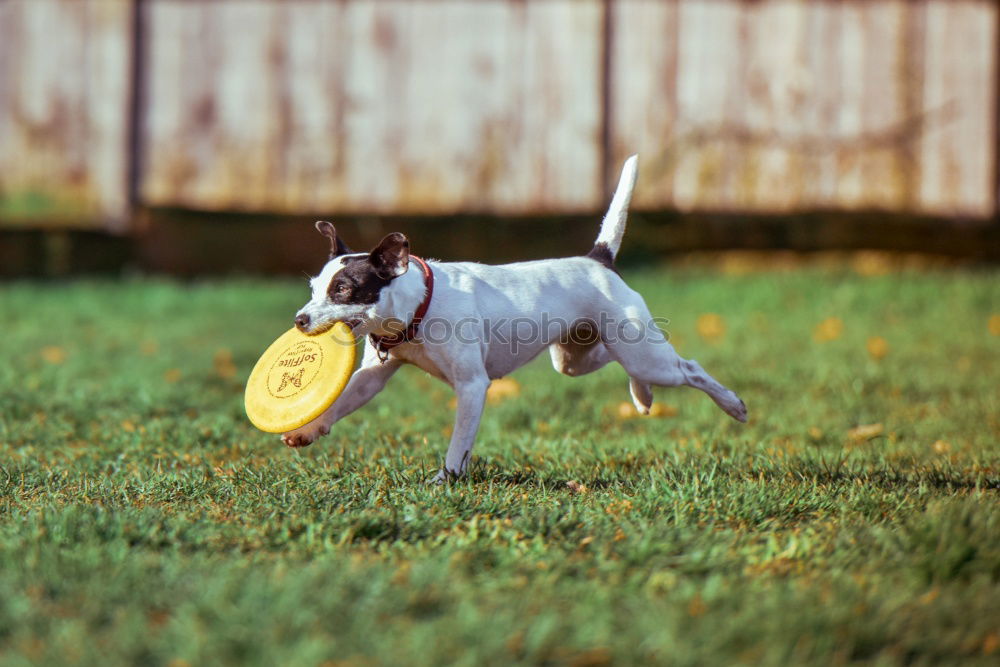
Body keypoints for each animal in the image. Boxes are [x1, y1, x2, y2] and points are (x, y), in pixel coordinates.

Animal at [286, 157, 748, 480]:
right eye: (313, 288)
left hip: (644, 353)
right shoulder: (373, 376)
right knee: (615, 361)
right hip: (575, 358)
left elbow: (459, 444)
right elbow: (343, 400)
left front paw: (444, 480)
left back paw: (731, 404)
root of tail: (597, 259)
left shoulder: (472, 387)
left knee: (689, 368)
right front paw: (309, 429)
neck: (419, 306)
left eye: (343, 290)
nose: (300, 320)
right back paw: (643, 395)